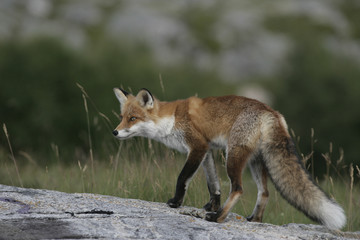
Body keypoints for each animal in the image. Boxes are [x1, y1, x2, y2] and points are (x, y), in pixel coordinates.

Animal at [112, 87, 346, 230]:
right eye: (122, 117)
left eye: (133, 118)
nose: (115, 132)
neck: (171, 119)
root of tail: (271, 111)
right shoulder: (207, 151)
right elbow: (213, 184)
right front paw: (212, 205)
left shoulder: (197, 147)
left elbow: (182, 178)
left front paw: (177, 202)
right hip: (255, 161)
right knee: (265, 192)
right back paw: (255, 220)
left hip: (232, 157)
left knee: (239, 189)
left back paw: (218, 218)